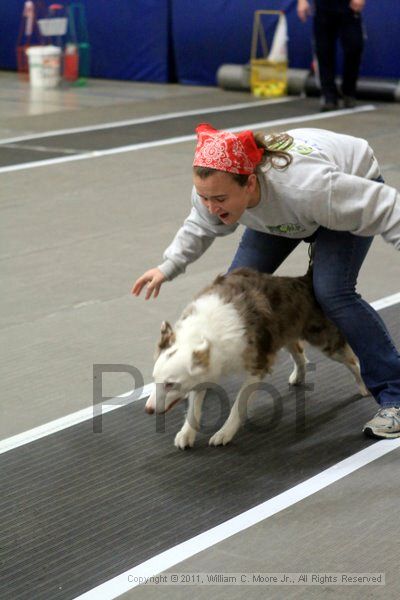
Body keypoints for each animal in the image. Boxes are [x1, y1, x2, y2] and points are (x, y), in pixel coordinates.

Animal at [145, 264, 368, 448]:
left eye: (170, 384)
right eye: (154, 379)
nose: (148, 410)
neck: (204, 331)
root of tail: (305, 281)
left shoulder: (258, 364)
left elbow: (238, 405)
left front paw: (224, 433)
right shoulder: (207, 370)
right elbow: (194, 406)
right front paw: (186, 433)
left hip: (325, 341)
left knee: (353, 362)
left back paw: (365, 387)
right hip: (284, 334)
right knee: (300, 353)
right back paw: (299, 376)